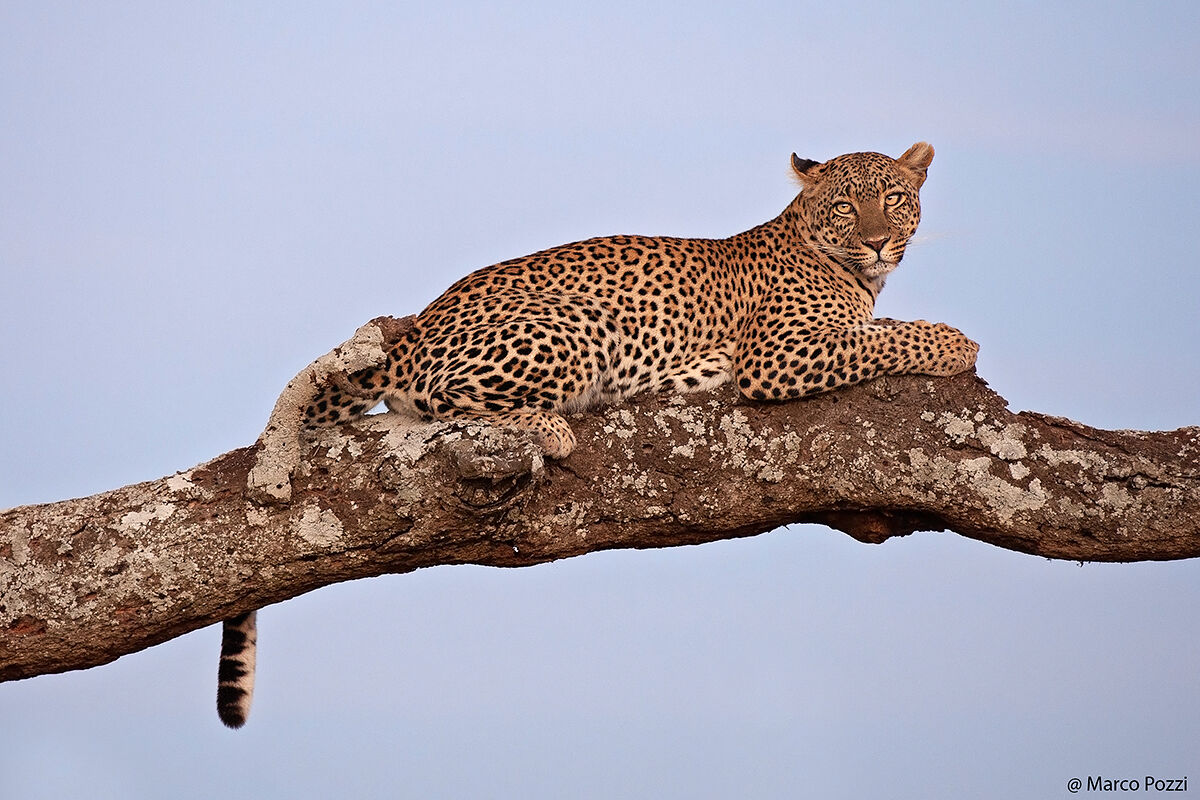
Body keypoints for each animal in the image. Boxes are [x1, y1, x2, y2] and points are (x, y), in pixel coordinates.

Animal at [217, 141, 978, 728]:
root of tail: (414, 330)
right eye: (847, 206)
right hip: (574, 327)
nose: (878, 241)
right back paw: (548, 427)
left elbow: (879, 331)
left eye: (894, 197)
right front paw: (955, 342)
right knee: (449, 400)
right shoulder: (778, 354)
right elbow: (882, 339)